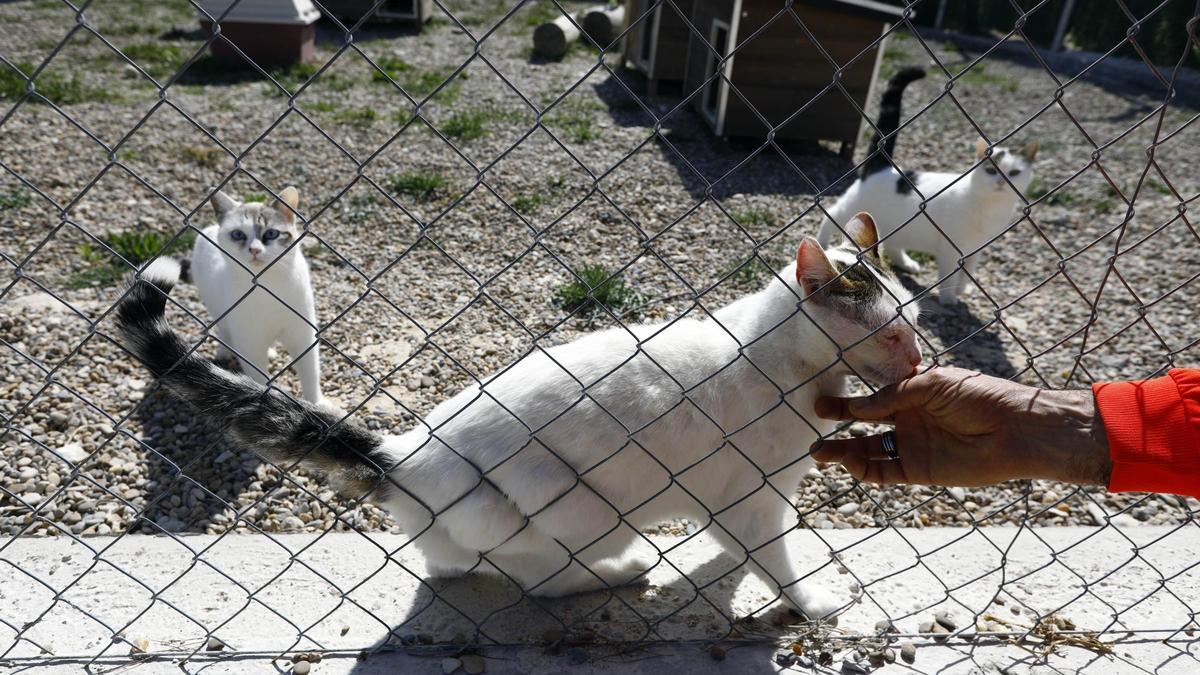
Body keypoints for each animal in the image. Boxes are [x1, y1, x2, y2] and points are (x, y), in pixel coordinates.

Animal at [187, 186, 321, 401]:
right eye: (238, 235)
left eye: (272, 234)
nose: (255, 250)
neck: (267, 286)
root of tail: (208, 229)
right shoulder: (250, 345)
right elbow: (259, 378)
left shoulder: (303, 335)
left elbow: (310, 374)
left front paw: (316, 403)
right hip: (216, 308)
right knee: (224, 330)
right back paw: (224, 351)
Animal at [820, 66, 1036, 303]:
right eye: (991, 170)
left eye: (1014, 173)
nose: (1000, 182)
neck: (990, 208)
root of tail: (882, 167)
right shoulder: (951, 251)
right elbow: (951, 275)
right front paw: (949, 298)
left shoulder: (975, 250)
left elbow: (968, 271)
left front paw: (963, 289)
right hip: (851, 208)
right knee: (829, 216)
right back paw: (822, 244)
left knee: (893, 244)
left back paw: (906, 263)